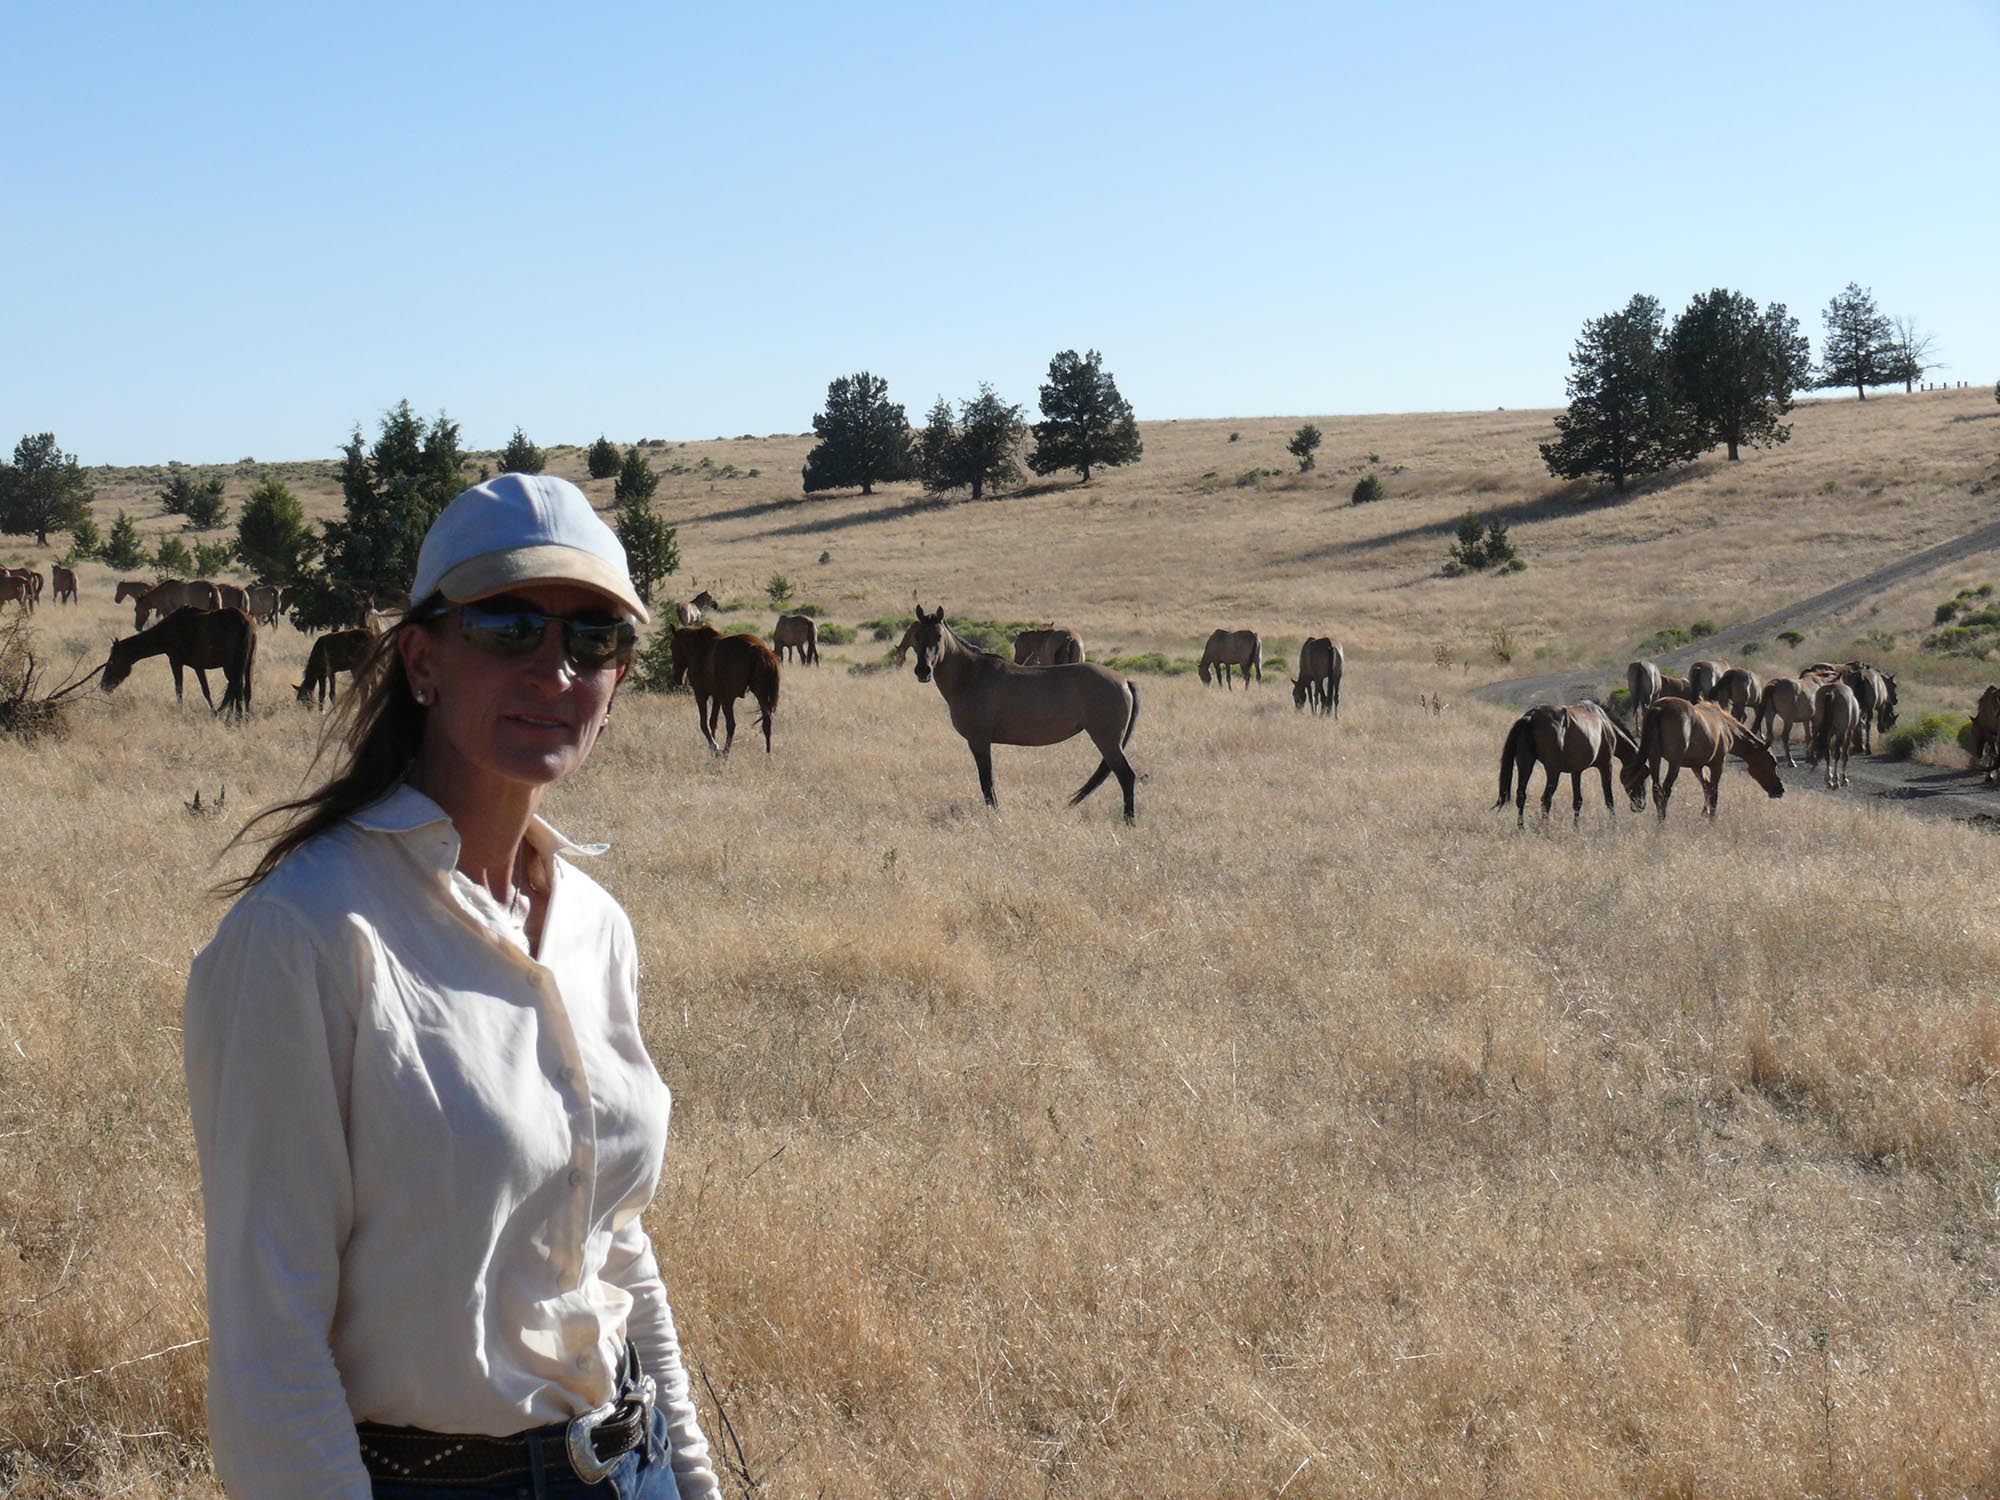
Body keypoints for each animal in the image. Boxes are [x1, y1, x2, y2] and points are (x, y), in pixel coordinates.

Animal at [98, 604, 258, 724]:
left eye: (112, 662)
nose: (104, 685)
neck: (168, 629)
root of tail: (244, 622)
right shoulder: (198, 667)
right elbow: (206, 691)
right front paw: (215, 713)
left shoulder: (177, 661)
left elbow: (181, 689)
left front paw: (184, 712)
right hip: (248, 663)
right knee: (245, 690)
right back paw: (244, 719)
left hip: (231, 666)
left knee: (237, 687)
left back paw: (237, 719)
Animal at [660, 624, 776, 756]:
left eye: (671, 647)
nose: (678, 679)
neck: (699, 647)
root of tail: (757, 648)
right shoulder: (717, 696)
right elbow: (712, 722)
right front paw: (712, 748)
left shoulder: (701, 694)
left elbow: (704, 724)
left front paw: (714, 747)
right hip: (760, 694)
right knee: (767, 722)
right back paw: (767, 755)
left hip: (729, 699)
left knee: (731, 725)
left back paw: (725, 754)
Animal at [908, 604, 1144, 828]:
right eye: (918, 636)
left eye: (938, 636)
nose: (923, 671)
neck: (970, 675)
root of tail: (1125, 681)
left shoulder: (979, 742)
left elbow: (987, 783)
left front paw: (995, 816)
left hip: (1107, 742)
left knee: (1126, 776)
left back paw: (1129, 822)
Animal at [1496, 700, 1648, 828]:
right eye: (1645, 775)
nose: (1640, 805)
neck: (1605, 725)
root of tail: (1531, 717)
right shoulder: (1606, 765)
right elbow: (1609, 799)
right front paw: (1614, 825)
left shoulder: (1576, 771)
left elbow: (1577, 801)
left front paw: (1576, 828)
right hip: (1553, 772)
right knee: (1545, 800)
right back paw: (1545, 829)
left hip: (1525, 764)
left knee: (1521, 795)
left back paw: (1521, 828)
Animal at [1616, 704, 1792, 824]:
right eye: (1773, 762)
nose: (1780, 789)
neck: (1724, 725)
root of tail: (1659, 709)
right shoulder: (1717, 764)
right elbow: (1713, 792)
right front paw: (1712, 819)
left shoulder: (1697, 766)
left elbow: (1706, 787)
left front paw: (1704, 814)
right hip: (1674, 764)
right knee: (1665, 792)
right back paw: (1663, 824)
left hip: (1655, 759)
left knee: (1656, 791)